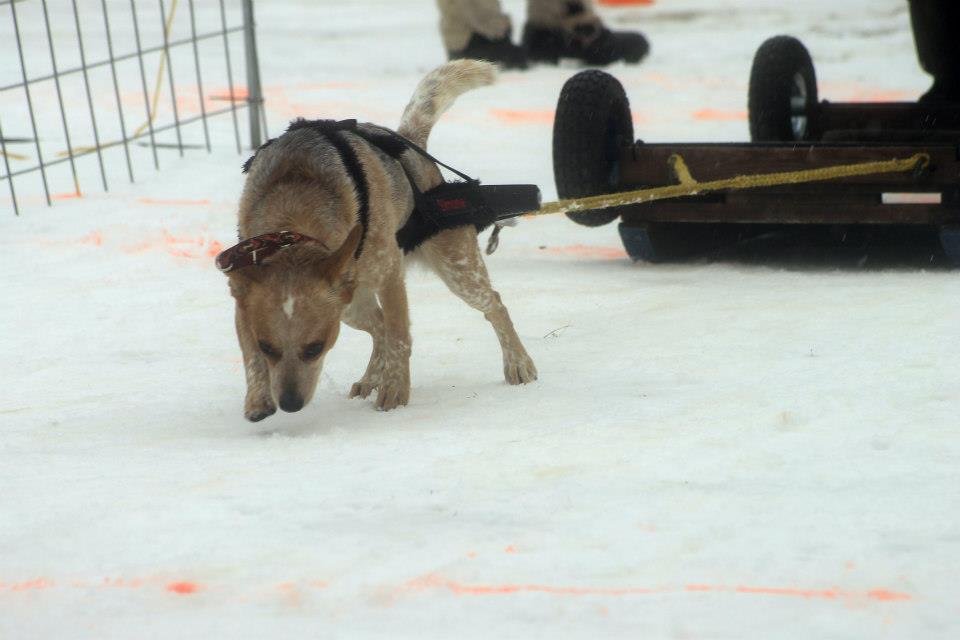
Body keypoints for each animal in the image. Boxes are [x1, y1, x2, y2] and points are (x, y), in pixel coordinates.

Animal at [223, 58, 540, 420]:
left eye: (316, 347)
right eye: (268, 347)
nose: (289, 404)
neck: (294, 214)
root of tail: (410, 142)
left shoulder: (389, 274)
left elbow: (400, 335)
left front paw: (396, 390)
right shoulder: (242, 293)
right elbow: (249, 355)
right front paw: (257, 398)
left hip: (458, 270)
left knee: (493, 304)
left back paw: (518, 363)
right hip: (349, 306)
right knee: (377, 326)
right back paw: (369, 378)